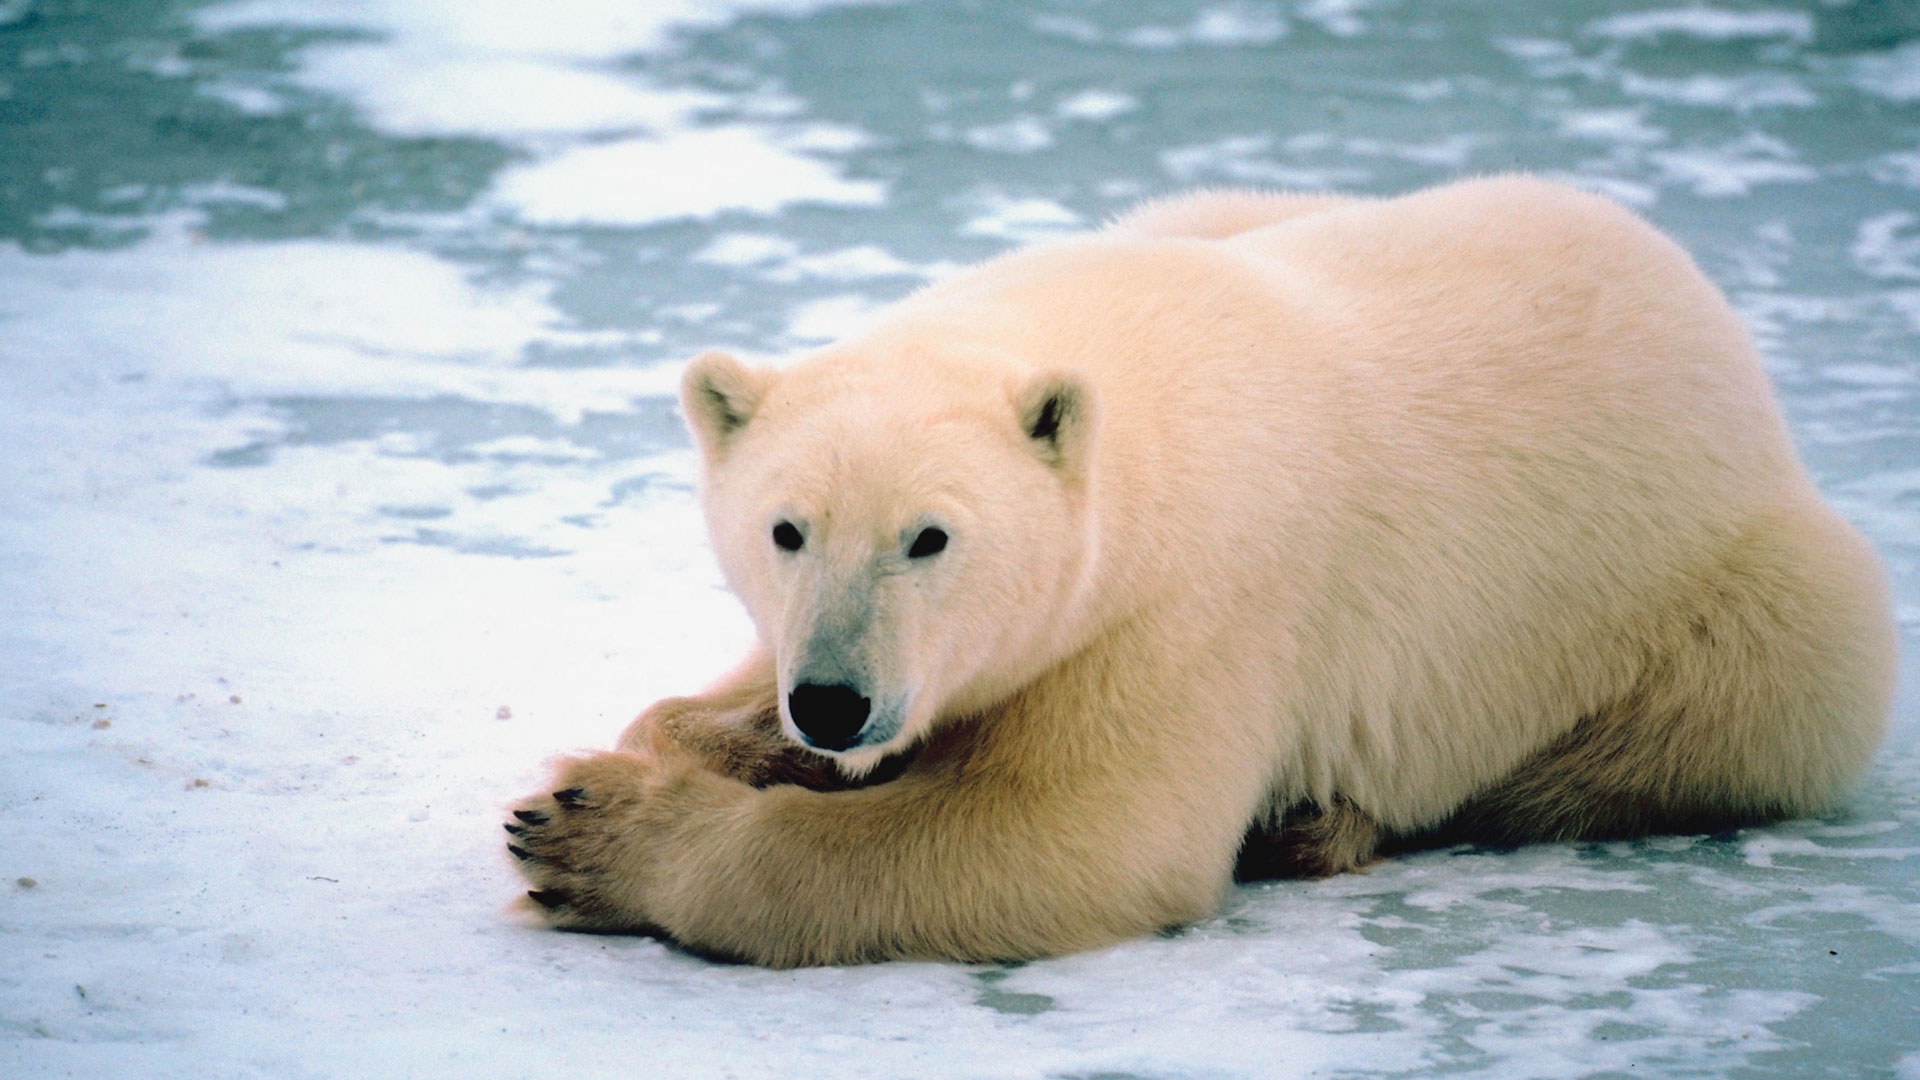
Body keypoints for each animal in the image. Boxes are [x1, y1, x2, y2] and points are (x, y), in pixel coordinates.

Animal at [505, 176, 1896, 967]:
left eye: (931, 537)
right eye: (785, 530)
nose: (836, 703)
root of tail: (1719, 321)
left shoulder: (1190, 608)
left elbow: (1079, 835)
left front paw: (588, 836)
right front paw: (708, 743)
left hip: (1734, 590)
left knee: (1726, 708)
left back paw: (1320, 821)